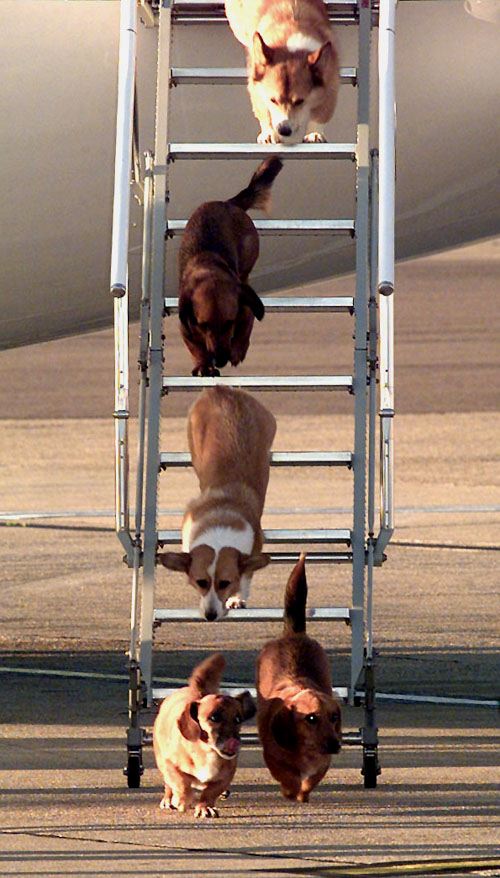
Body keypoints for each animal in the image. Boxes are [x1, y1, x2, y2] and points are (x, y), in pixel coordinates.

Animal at [153, 652, 256, 820]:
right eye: (214, 717)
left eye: (238, 719)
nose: (234, 741)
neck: (207, 751)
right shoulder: (170, 765)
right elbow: (181, 783)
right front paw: (182, 800)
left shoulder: (225, 777)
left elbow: (210, 792)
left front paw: (205, 807)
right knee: (169, 785)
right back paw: (169, 799)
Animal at [158, 388, 276, 624]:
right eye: (201, 582)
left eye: (225, 583)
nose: (211, 616)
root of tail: (221, 389)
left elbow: (246, 575)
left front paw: (236, 599)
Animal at [179, 158, 282, 378]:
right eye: (203, 325)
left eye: (229, 323)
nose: (220, 360)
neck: (208, 269)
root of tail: (228, 203)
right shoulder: (187, 327)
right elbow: (196, 347)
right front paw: (203, 365)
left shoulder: (245, 309)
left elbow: (245, 328)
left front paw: (237, 350)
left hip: (247, 262)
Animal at [226, 0, 340, 144]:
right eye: (273, 100)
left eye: (299, 101)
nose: (284, 131)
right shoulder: (256, 88)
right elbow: (264, 111)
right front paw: (269, 133)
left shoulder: (331, 84)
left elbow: (320, 115)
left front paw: (314, 134)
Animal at [256, 560, 342, 800]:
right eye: (311, 718)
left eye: (334, 717)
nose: (335, 745)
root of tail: (293, 633)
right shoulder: (273, 759)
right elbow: (288, 776)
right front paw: (291, 791)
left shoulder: (322, 764)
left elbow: (310, 779)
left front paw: (302, 793)